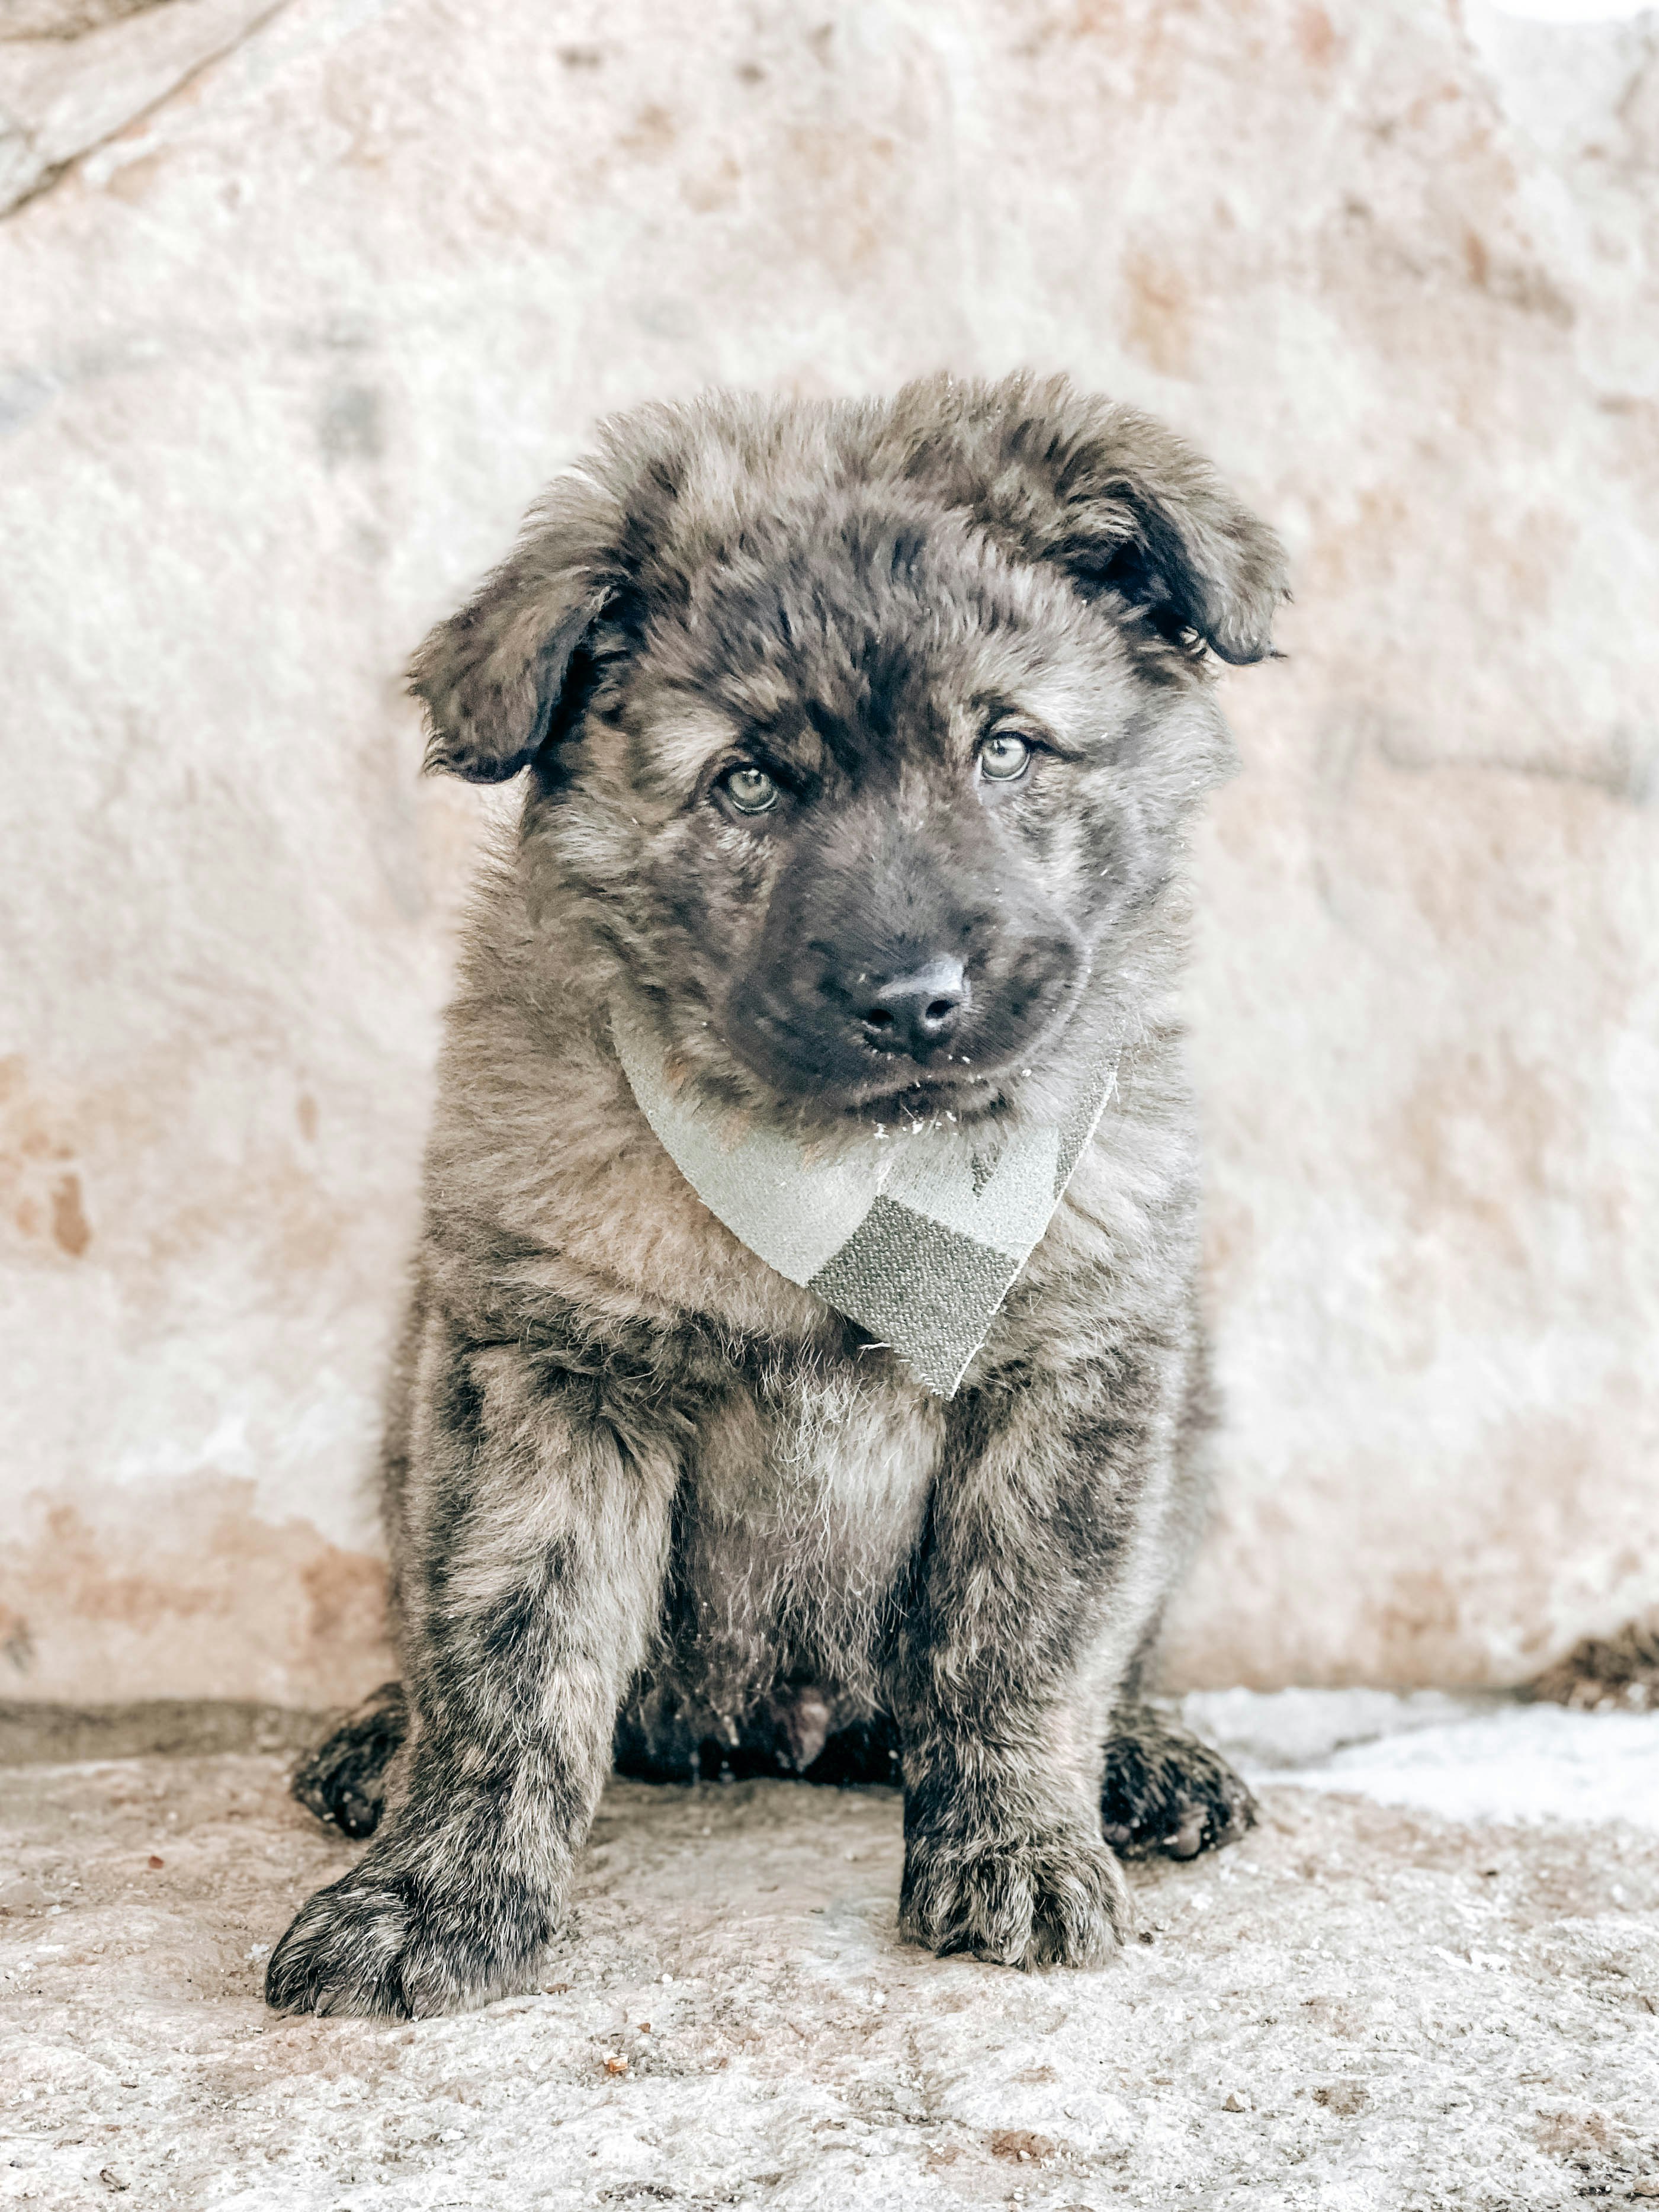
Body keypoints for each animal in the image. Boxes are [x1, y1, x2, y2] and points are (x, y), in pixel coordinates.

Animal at [269, 376, 1283, 2026]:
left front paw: (1016, 1846)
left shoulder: (1077, 1367)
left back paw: (1146, 1758)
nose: (915, 998)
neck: (848, 1174)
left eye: (1007, 750)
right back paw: (376, 1735)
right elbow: (507, 1658)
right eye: (747, 781)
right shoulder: (547, 1367)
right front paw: (435, 1894)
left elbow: (1030, 1639)